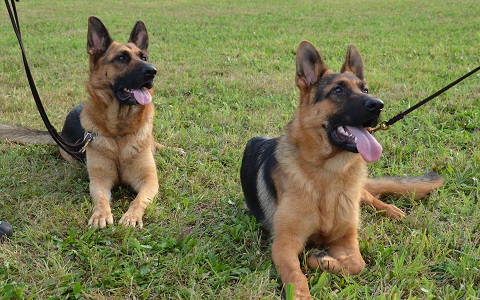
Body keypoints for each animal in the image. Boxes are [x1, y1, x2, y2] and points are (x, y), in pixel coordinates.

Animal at [0, 16, 164, 227]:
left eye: (143, 57)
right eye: (121, 58)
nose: (152, 71)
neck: (118, 132)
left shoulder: (149, 180)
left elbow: (139, 200)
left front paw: (131, 216)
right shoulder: (99, 181)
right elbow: (101, 199)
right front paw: (101, 214)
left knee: (157, 144)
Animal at [240, 41, 446, 298]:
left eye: (365, 89)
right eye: (338, 90)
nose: (378, 105)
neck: (328, 175)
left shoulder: (346, 238)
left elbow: (357, 264)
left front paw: (321, 259)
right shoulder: (284, 244)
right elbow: (296, 277)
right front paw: (306, 283)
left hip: (359, 196)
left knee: (367, 195)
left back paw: (390, 209)